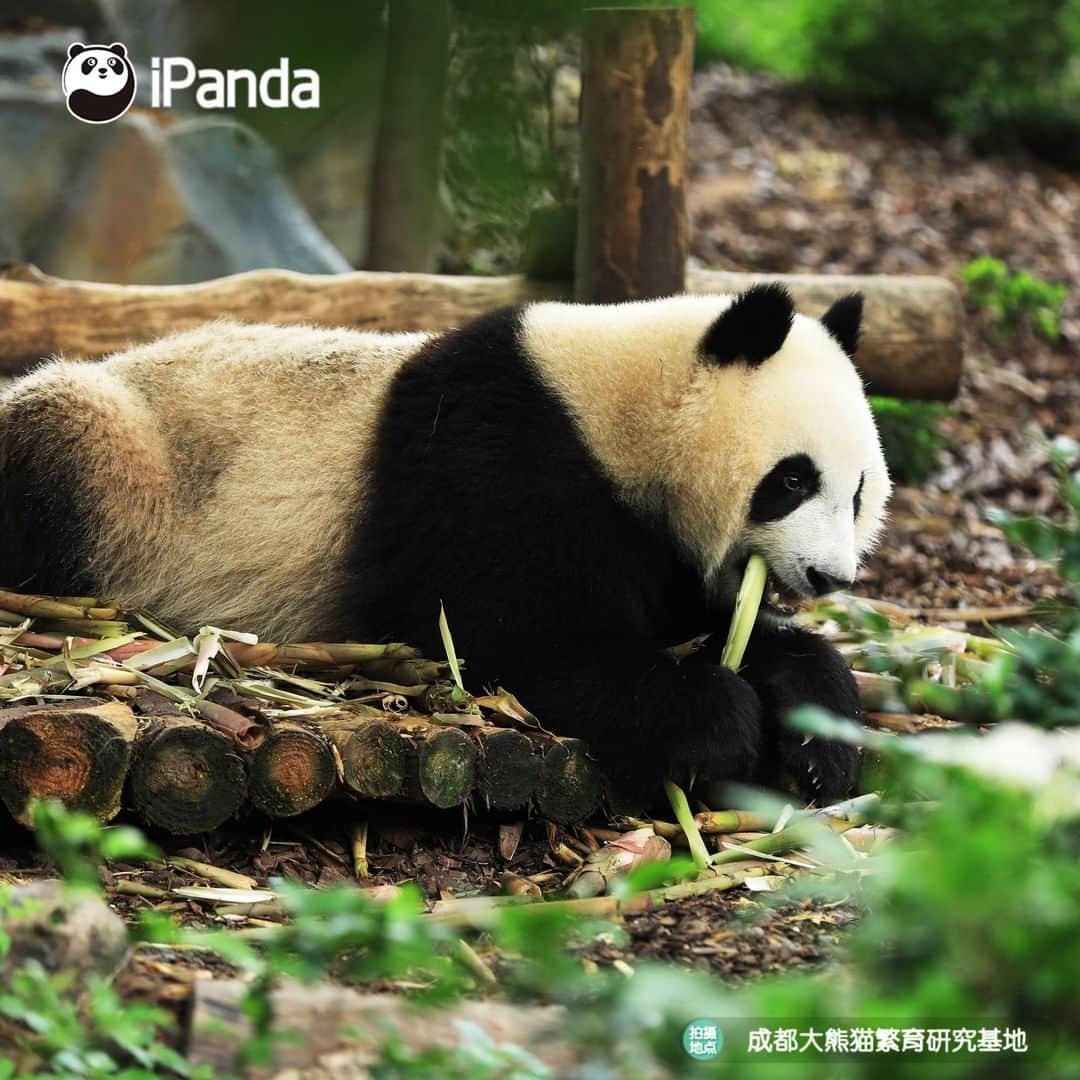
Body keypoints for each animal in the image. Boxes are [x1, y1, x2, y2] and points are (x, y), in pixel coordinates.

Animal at [4, 287, 889, 803]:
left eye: (857, 493)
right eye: (792, 479)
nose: (829, 577)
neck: (621, 408)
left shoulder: (652, 537)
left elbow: (709, 627)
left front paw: (821, 739)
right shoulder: (492, 457)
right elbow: (507, 630)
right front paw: (717, 724)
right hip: (122, 465)